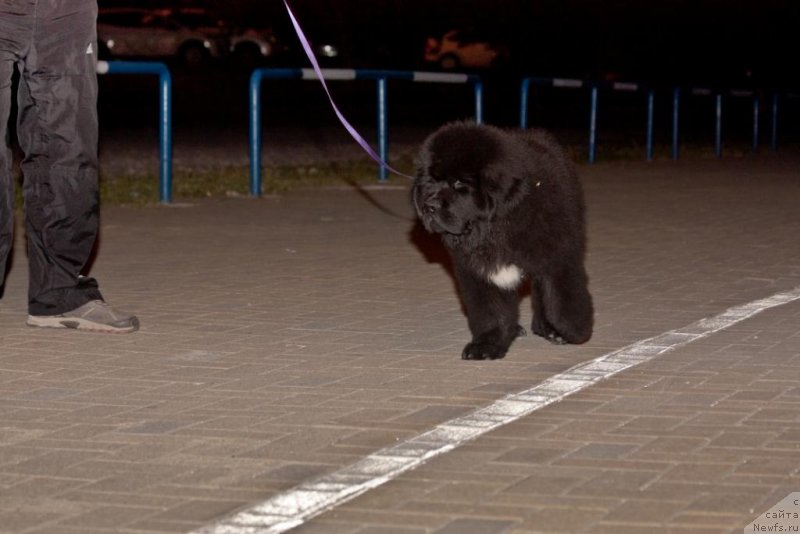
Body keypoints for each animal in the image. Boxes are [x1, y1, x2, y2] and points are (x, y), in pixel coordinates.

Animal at [412, 123, 592, 362]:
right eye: (431, 181)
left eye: (459, 183)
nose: (428, 207)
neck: (493, 228)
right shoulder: (477, 272)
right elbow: (491, 311)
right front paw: (488, 344)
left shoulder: (557, 256)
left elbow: (562, 300)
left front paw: (572, 330)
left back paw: (547, 327)